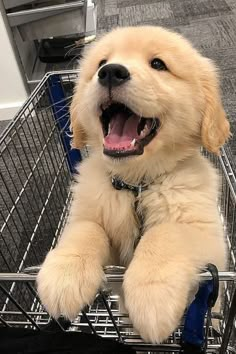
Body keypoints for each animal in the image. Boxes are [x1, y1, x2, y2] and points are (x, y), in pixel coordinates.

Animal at [37, 26, 230, 342]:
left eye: (158, 64)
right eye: (101, 62)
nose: (110, 72)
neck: (136, 185)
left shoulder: (208, 237)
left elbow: (165, 234)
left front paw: (152, 294)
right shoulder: (92, 216)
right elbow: (86, 229)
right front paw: (65, 273)